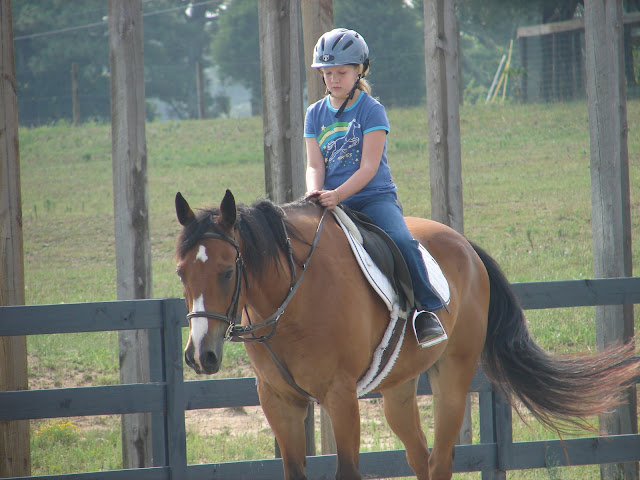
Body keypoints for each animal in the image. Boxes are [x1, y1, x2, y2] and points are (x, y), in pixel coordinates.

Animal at [174, 189, 639, 480]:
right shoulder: (279, 401)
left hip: (452, 379)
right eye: (181, 273)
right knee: (420, 458)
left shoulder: (340, 396)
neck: (293, 294)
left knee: (440, 462)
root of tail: (465, 245)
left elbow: (348, 472)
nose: (200, 355)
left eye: (227, 271)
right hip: (397, 390)